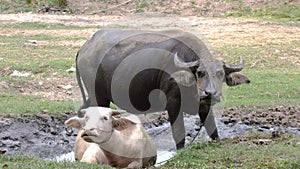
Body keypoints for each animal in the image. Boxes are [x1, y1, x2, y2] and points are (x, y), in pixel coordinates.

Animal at [75, 29, 251, 149]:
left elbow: (212, 129)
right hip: (99, 97)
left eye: (220, 73)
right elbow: (179, 133)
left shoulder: (204, 106)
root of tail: (84, 48)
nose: (210, 93)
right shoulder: (173, 103)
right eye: (200, 73)